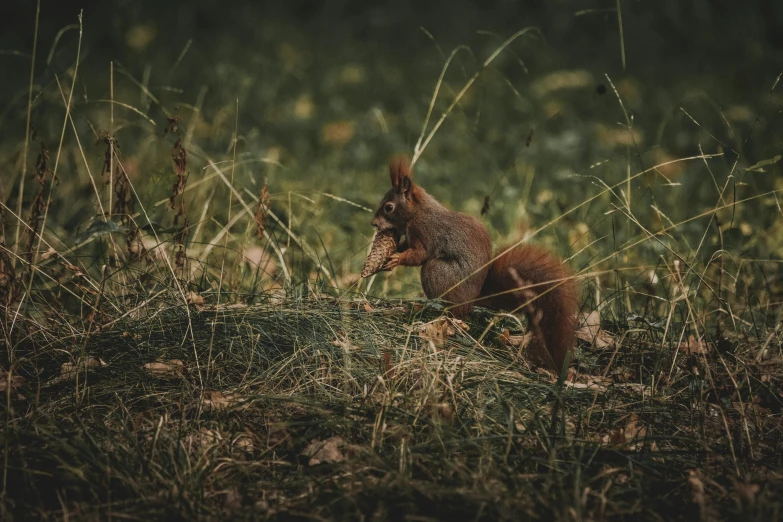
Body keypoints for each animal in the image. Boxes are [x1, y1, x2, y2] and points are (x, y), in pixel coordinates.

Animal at [370, 154, 580, 370]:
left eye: (389, 207)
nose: (374, 224)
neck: (417, 211)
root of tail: (473, 299)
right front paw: (392, 252)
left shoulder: (423, 233)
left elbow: (419, 255)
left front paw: (397, 259)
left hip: (437, 272)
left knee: (454, 311)